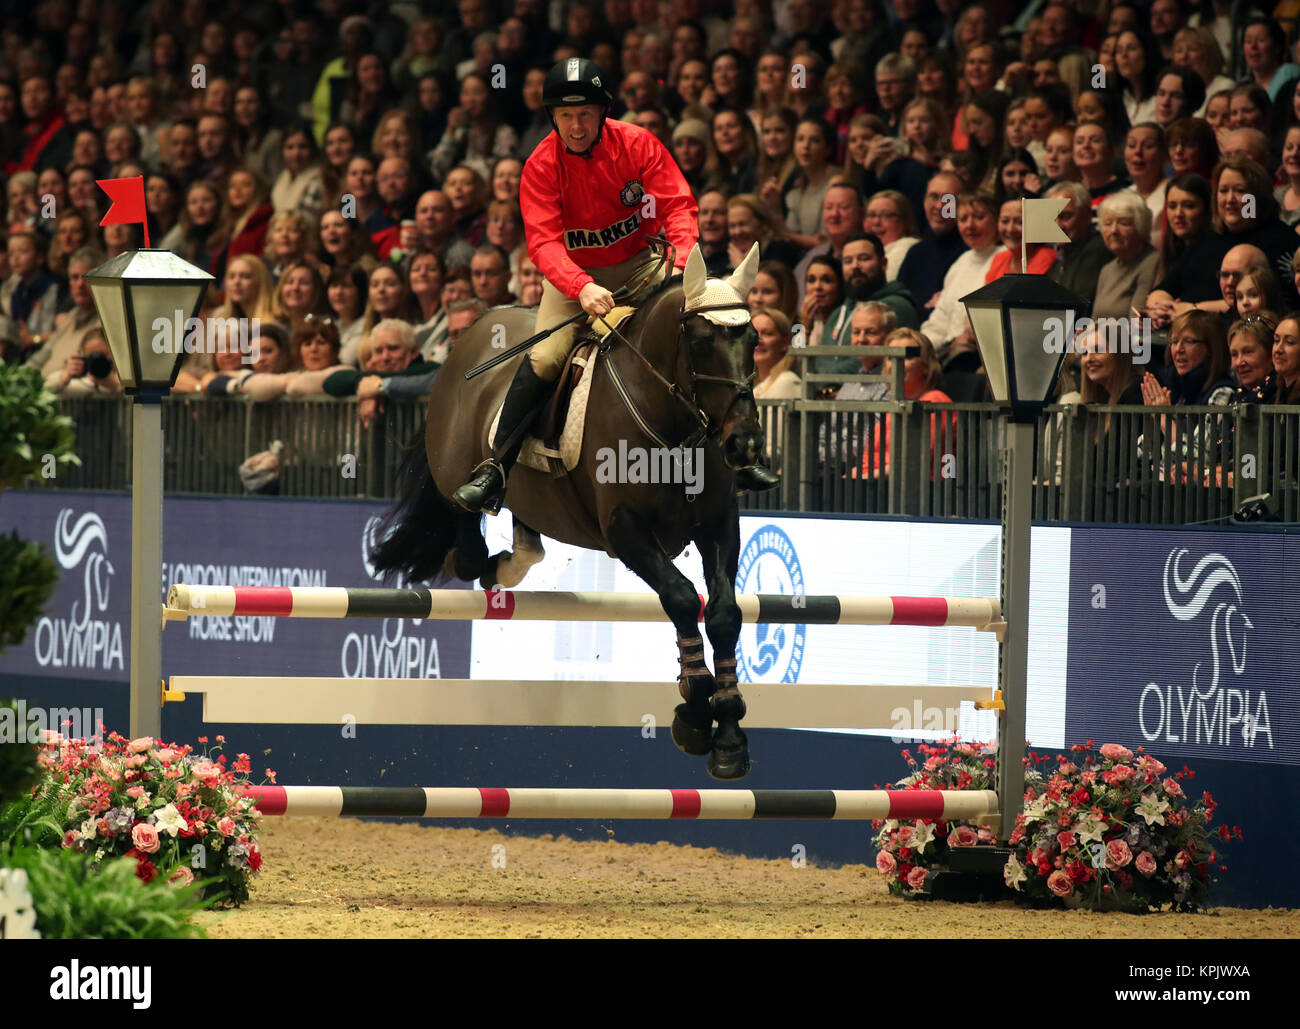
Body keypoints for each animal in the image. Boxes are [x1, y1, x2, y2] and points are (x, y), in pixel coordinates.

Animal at [369, 242, 759, 779]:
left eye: (755, 340)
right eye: (701, 341)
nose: (745, 444)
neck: (674, 427)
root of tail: (477, 326)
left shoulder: (719, 527)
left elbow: (723, 614)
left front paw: (730, 735)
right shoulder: (625, 531)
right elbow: (681, 598)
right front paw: (695, 714)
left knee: (525, 542)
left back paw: (505, 565)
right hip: (454, 470)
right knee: (465, 523)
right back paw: (478, 534)